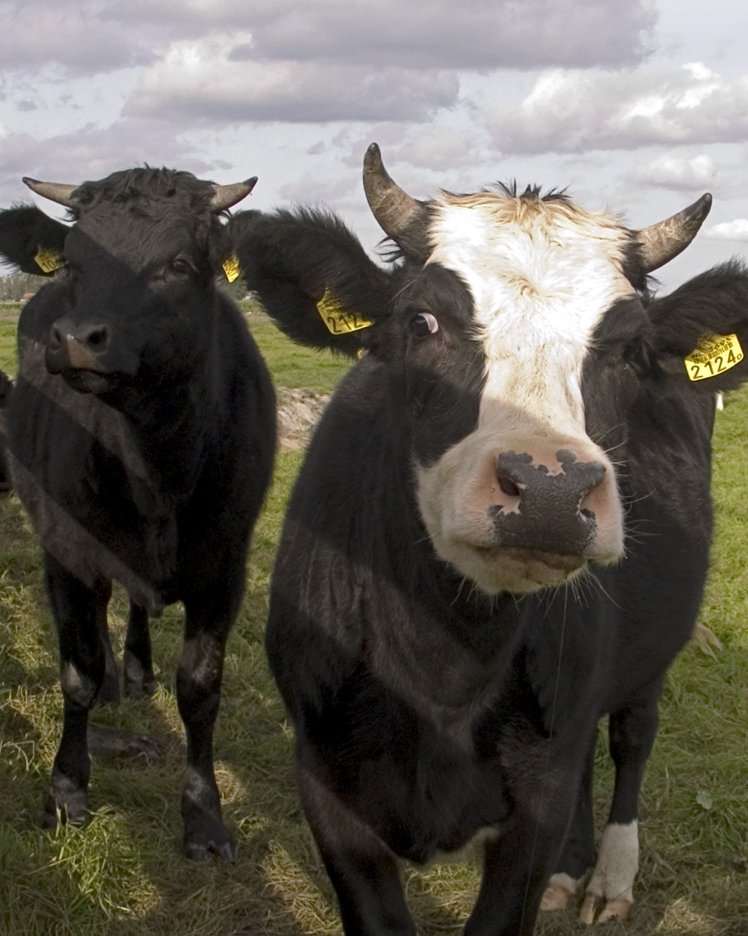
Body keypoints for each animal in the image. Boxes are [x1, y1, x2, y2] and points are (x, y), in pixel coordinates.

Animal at [0, 166, 278, 856]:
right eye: (75, 261)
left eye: (178, 263)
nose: (77, 339)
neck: (158, 473)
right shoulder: (66, 554)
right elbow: (76, 673)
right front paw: (67, 792)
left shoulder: (224, 571)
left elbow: (201, 690)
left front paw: (203, 818)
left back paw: (137, 671)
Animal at [235, 143, 748, 932]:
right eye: (421, 322)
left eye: (630, 350)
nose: (550, 490)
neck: (446, 667)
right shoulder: (324, 784)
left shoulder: (535, 800)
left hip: (652, 648)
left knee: (631, 735)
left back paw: (609, 876)